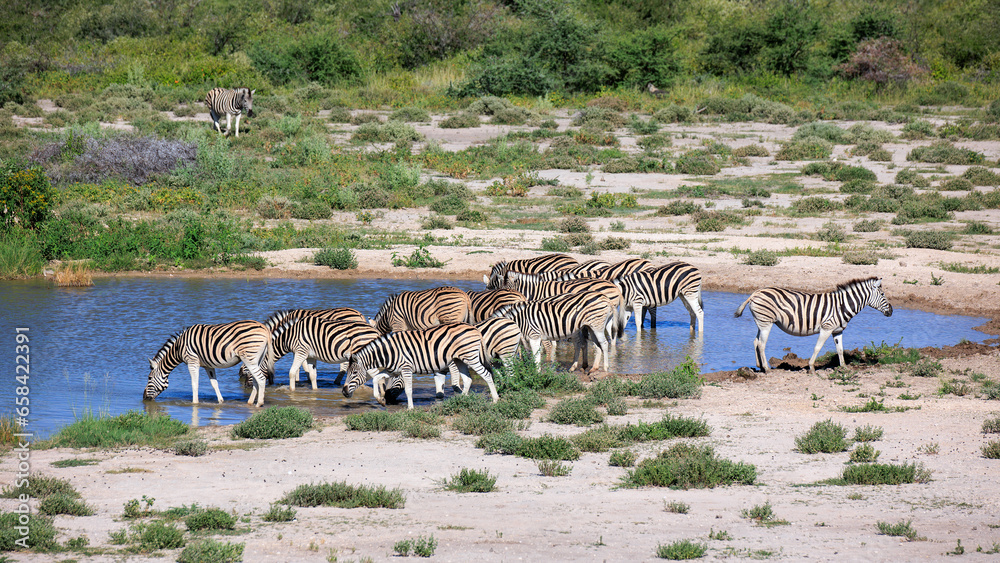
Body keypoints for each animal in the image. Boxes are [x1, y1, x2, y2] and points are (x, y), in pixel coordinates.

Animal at [341, 323, 498, 409]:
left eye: (353, 373)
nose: (343, 392)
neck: (388, 353)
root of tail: (473, 328)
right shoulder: (393, 371)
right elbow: (376, 379)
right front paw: (381, 401)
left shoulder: (406, 368)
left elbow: (408, 390)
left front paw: (410, 408)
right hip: (460, 359)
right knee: (468, 379)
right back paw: (462, 400)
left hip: (471, 357)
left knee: (486, 374)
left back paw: (495, 399)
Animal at [735, 277, 893, 374]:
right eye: (883, 295)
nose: (891, 311)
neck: (842, 305)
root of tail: (755, 293)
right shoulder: (826, 328)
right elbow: (817, 347)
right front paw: (811, 368)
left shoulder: (837, 331)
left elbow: (840, 349)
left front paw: (843, 367)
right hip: (766, 323)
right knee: (761, 344)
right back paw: (767, 369)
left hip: (761, 323)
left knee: (756, 341)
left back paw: (760, 367)